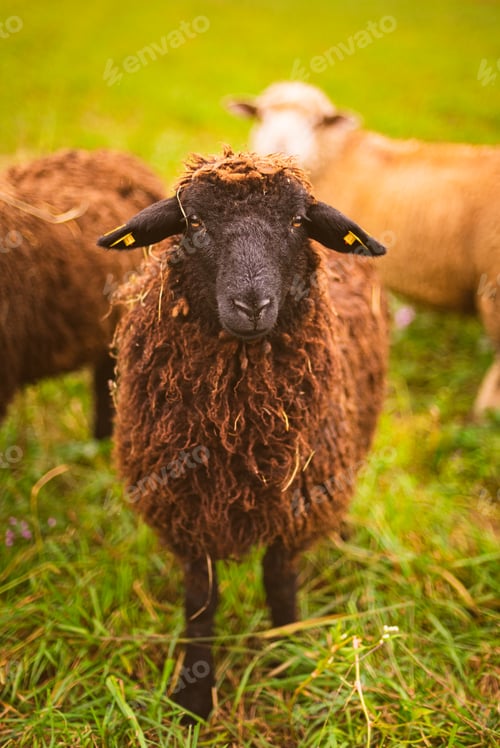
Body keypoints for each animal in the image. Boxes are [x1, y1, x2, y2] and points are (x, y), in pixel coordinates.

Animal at [97, 148, 389, 720]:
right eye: (194, 223)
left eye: (298, 222)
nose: (251, 305)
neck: (237, 431)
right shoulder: (185, 504)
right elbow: (200, 600)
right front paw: (194, 694)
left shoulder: (296, 498)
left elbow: (278, 577)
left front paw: (289, 649)